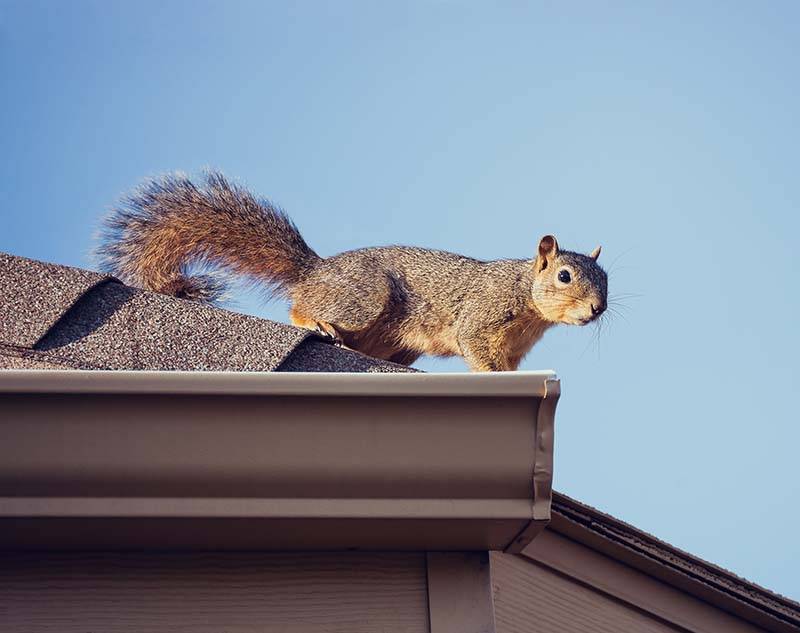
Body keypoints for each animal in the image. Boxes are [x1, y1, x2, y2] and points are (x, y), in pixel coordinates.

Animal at [98, 170, 608, 372]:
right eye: (564, 276)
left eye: (606, 281)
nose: (597, 309)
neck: (526, 297)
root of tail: (317, 270)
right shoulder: (481, 316)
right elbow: (477, 349)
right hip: (364, 298)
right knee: (300, 306)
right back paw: (317, 322)